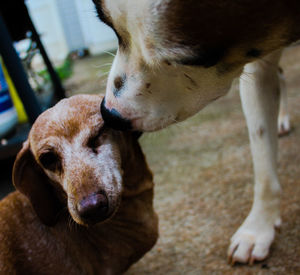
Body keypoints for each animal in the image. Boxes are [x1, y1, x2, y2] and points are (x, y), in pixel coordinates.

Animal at [92, 0, 300, 268]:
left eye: (186, 60)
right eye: (112, 29)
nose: (110, 115)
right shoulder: (259, 68)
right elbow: (263, 159)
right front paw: (257, 230)